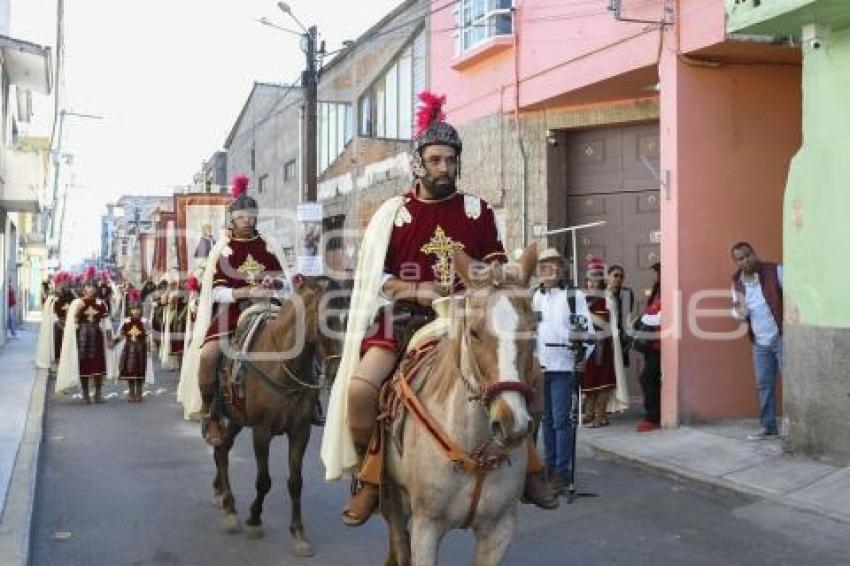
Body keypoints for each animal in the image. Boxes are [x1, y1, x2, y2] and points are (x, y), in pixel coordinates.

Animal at [211, 278, 344, 560]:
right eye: (327, 320)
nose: (336, 372)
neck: (285, 365)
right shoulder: (261, 431)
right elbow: (264, 480)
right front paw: (254, 520)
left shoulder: (301, 431)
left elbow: (295, 482)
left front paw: (298, 534)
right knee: (220, 449)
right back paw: (230, 509)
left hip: (237, 420)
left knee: (222, 451)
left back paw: (222, 496)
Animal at [382, 247, 540, 566]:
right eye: (475, 332)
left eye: (533, 329)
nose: (512, 423)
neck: (475, 450)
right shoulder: (426, 528)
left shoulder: (499, 530)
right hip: (392, 499)